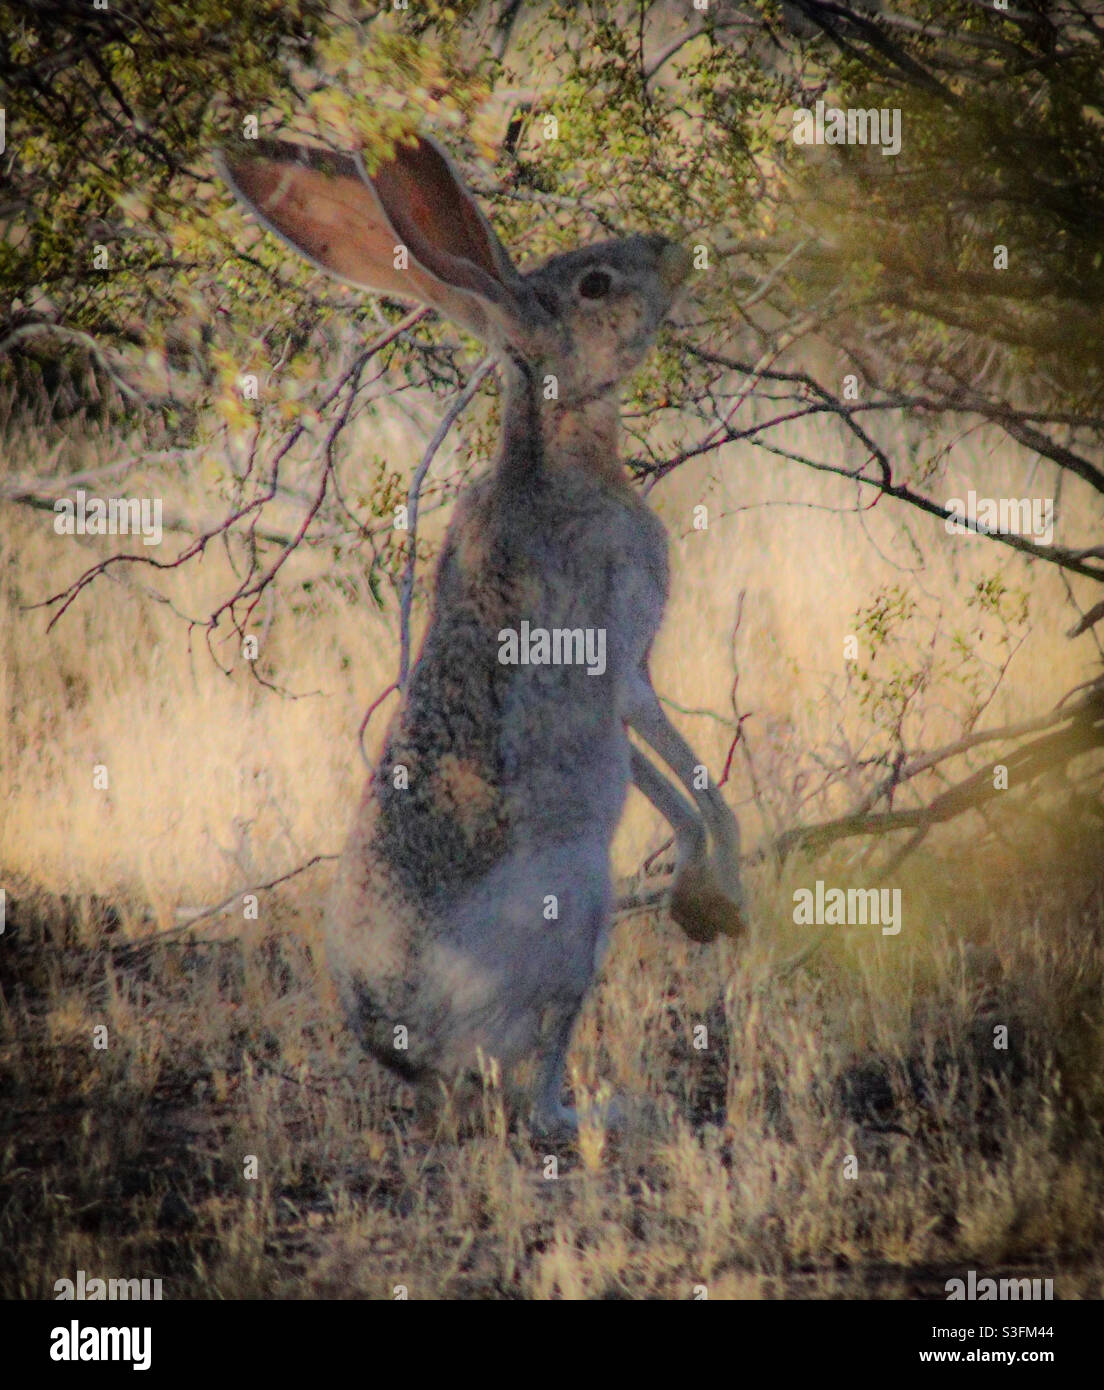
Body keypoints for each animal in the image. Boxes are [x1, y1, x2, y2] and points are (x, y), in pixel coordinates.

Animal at [216, 132, 746, 1138]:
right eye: (595, 284)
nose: (672, 249)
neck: (557, 446)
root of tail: (411, 1049)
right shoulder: (625, 656)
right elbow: (686, 770)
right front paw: (718, 900)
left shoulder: (619, 690)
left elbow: (658, 776)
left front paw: (704, 893)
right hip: (577, 906)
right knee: (535, 1091)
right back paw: (610, 1116)